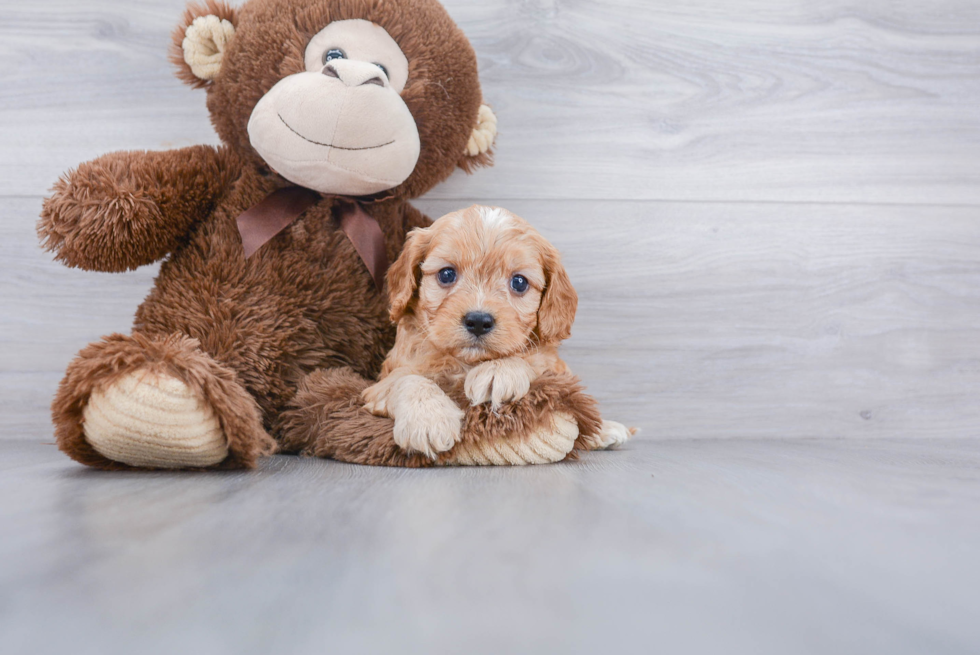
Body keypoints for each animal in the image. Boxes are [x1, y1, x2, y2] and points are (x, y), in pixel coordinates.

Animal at [360, 208, 628, 458]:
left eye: (519, 282)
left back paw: (606, 430)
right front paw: (428, 420)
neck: (467, 362)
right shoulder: (381, 383)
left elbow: (533, 359)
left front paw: (499, 371)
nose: (478, 321)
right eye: (447, 274)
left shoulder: (552, 366)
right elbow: (407, 379)